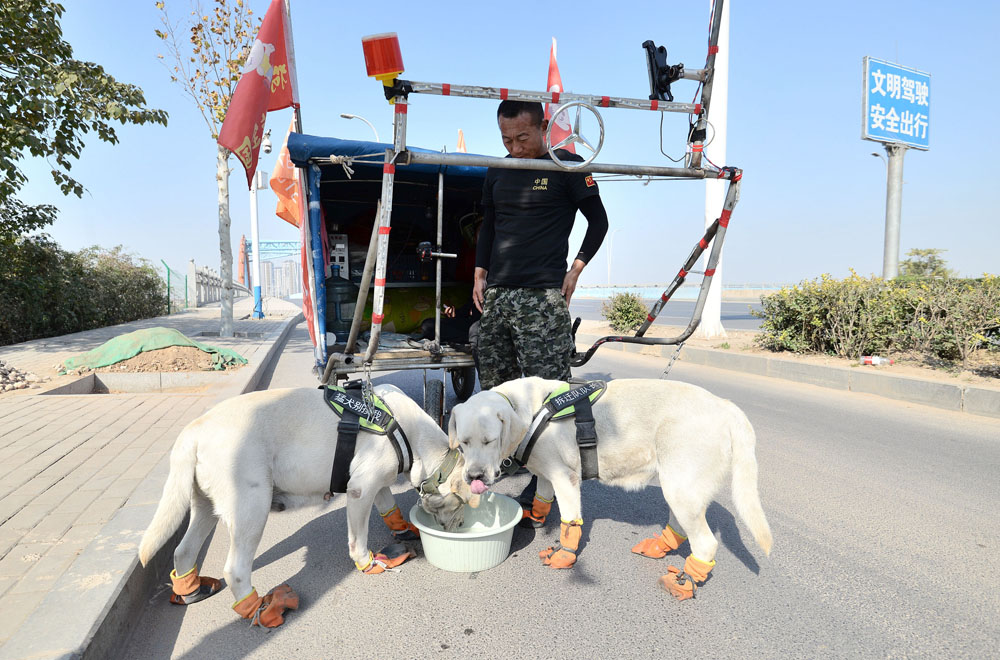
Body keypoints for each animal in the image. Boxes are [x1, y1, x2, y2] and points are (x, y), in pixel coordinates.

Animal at [138, 384, 476, 628]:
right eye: (461, 504)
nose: (460, 527)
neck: (412, 433)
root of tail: (194, 429)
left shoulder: (378, 484)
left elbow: (389, 507)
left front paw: (405, 529)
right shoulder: (360, 489)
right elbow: (358, 539)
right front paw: (367, 562)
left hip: (205, 504)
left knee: (183, 551)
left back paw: (191, 590)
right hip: (251, 506)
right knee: (236, 569)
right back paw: (259, 607)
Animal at [452, 376, 772, 600]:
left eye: (489, 441)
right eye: (463, 442)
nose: (474, 476)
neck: (528, 411)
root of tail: (727, 407)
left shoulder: (565, 478)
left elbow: (570, 522)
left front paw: (564, 553)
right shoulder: (546, 474)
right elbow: (542, 500)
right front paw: (532, 517)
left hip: (682, 486)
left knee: (705, 542)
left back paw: (685, 580)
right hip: (680, 487)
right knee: (681, 526)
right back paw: (659, 546)